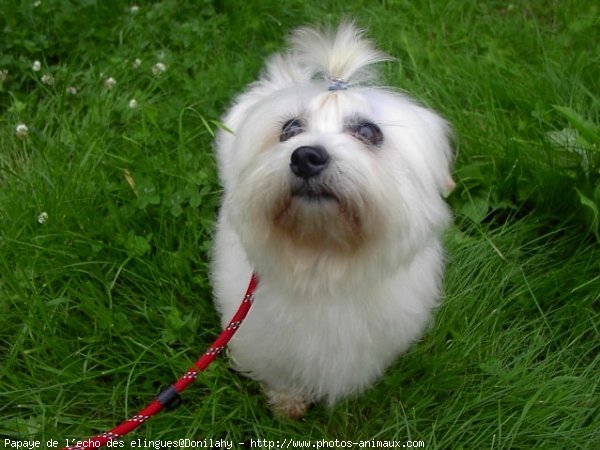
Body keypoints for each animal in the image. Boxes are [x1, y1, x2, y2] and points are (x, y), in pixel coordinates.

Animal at [211, 22, 450, 418]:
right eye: (289, 129)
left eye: (368, 132)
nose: (306, 156)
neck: (322, 259)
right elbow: (281, 373)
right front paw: (287, 403)